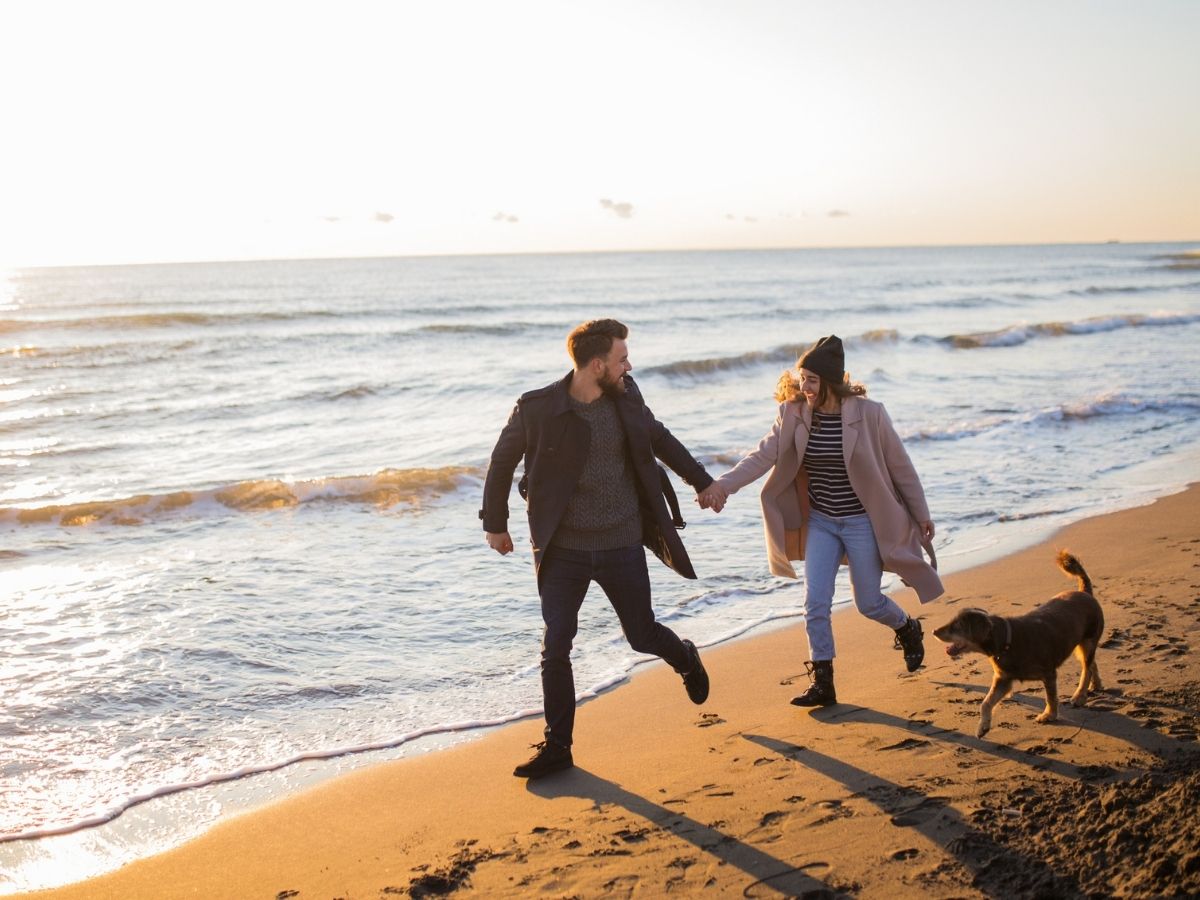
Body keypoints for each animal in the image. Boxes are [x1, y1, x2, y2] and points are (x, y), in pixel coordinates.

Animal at [931, 549, 1099, 739]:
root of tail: (1085, 592)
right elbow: (986, 702)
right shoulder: (1003, 679)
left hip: (1088, 640)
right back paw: (1096, 685)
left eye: (956, 626)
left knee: (1086, 667)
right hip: (1081, 645)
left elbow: (1050, 697)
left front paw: (1049, 715)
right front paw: (983, 727)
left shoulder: (1048, 674)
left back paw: (1079, 696)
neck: (1006, 641)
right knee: (1091, 664)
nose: (933, 631)